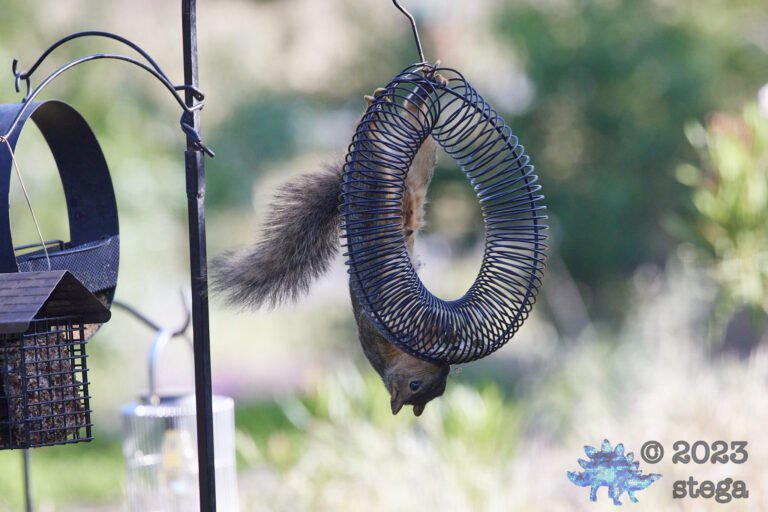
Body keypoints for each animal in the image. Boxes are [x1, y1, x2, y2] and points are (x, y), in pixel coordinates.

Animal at [213, 81, 450, 416]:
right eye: (415, 386)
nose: (445, 368)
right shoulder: (380, 332)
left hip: (417, 166)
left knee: (413, 129)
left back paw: (421, 90)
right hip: (384, 175)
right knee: (381, 138)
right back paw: (380, 103)